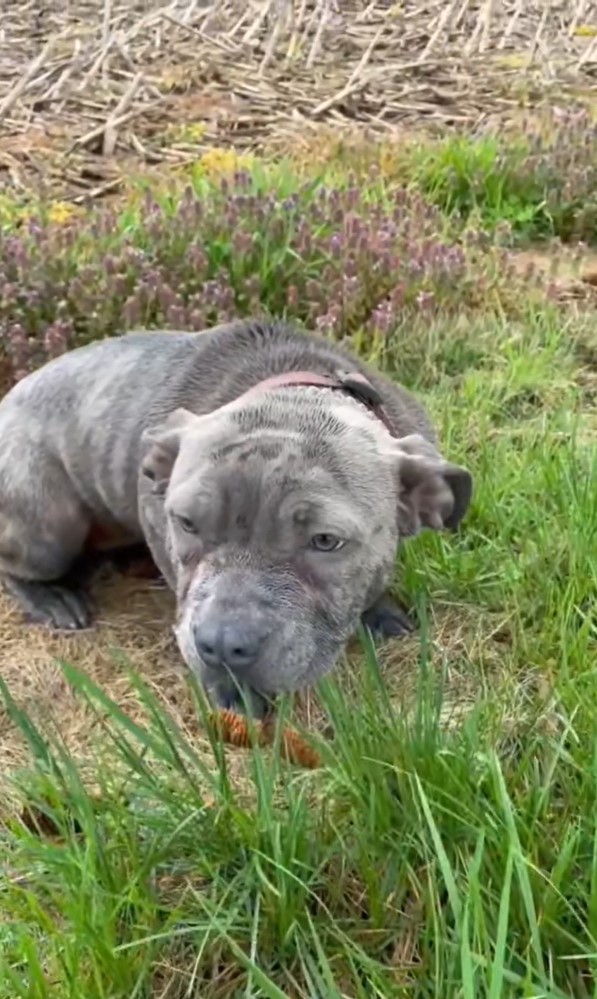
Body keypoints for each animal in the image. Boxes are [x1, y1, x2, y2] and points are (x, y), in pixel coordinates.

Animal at [1, 316, 474, 716]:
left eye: (325, 541)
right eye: (186, 523)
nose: (223, 646)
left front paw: (378, 609)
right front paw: (233, 691)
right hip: (49, 520)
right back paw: (52, 598)